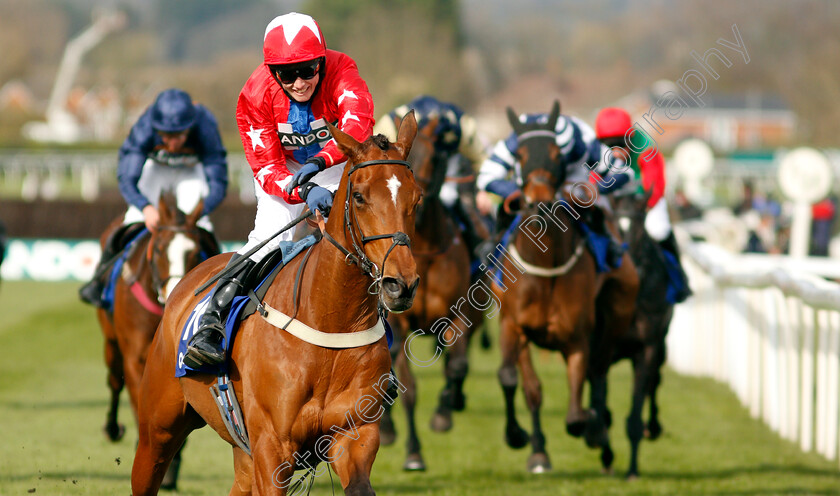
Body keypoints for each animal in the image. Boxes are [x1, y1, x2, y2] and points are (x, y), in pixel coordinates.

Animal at [97, 190, 220, 488]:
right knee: (114, 381)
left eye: (194, 252)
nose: (177, 292)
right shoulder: (135, 357)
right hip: (111, 341)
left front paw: (173, 467)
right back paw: (112, 428)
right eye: (162, 248)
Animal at [132, 113, 424, 496]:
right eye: (359, 197)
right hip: (158, 429)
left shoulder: (354, 436)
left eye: (417, 198)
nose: (400, 284)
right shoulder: (272, 446)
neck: (331, 318)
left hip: (242, 454)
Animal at [378, 115, 480, 468]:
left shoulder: (457, 315)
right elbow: (407, 385)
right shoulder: (398, 323)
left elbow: (457, 366)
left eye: (435, 157)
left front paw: (443, 414)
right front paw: (413, 451)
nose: (415, 207)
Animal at [492, 101, 636, 472]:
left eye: (557, 154)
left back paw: (602, 437)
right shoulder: (514, 326)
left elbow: (574, 415)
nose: (539, 203)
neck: (545, 268)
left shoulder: (577, 337)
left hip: (616, 311)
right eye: (519, 156)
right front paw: (527, 443)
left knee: (598, 373)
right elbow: (519, 383)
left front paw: (593, 429)